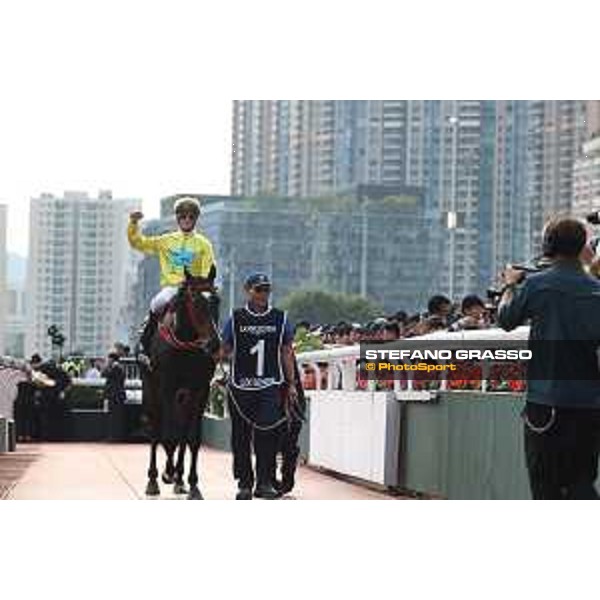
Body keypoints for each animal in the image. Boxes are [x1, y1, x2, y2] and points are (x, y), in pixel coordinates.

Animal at [142, 270, 219, 500]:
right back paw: (154, 479)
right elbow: (168, 436)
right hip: (152, 389)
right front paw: (166, 473)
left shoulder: (200, 389)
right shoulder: (167, 387)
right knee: (156, 428)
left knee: (182, 431)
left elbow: (192, 438)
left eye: (216, 301)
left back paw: (179, 479)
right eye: (196, 302)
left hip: (183, 397)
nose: (214, 344)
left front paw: (192, 484)